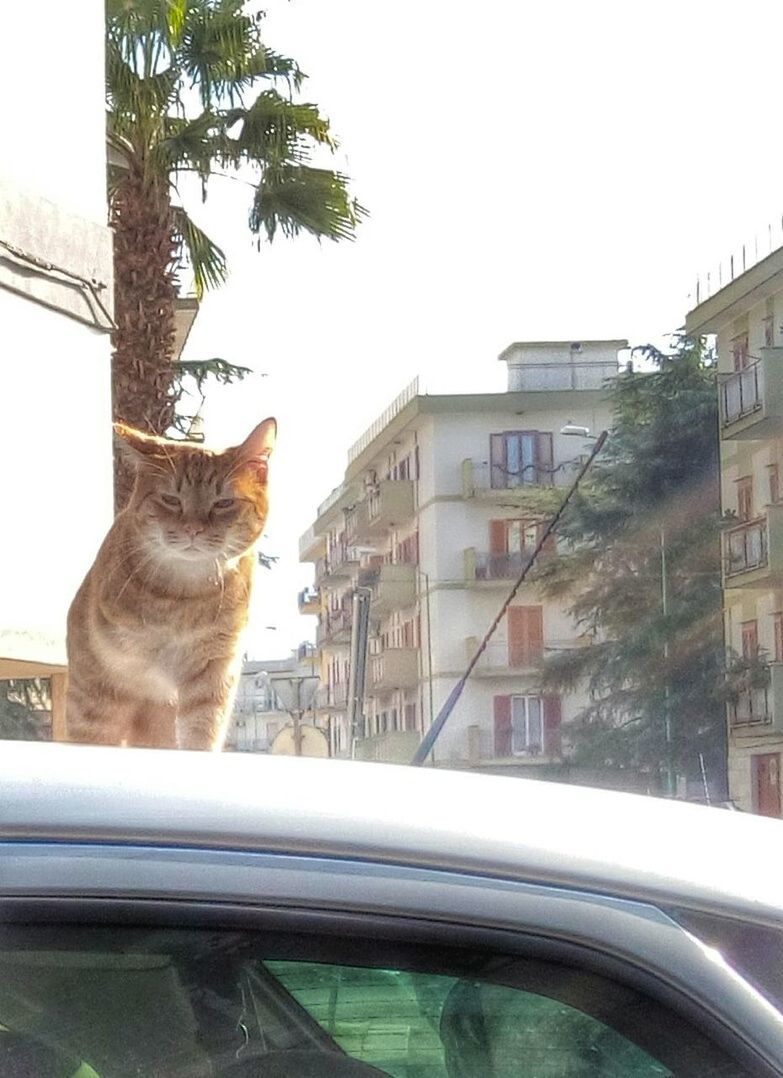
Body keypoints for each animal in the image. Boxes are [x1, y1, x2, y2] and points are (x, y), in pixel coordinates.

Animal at [66, 416, 278, 754]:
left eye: (223, 503)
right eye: (170, 500)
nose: (193, 529)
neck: (183, 597)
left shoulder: (212, 673)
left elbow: (201, 731)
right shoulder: (111, 686)